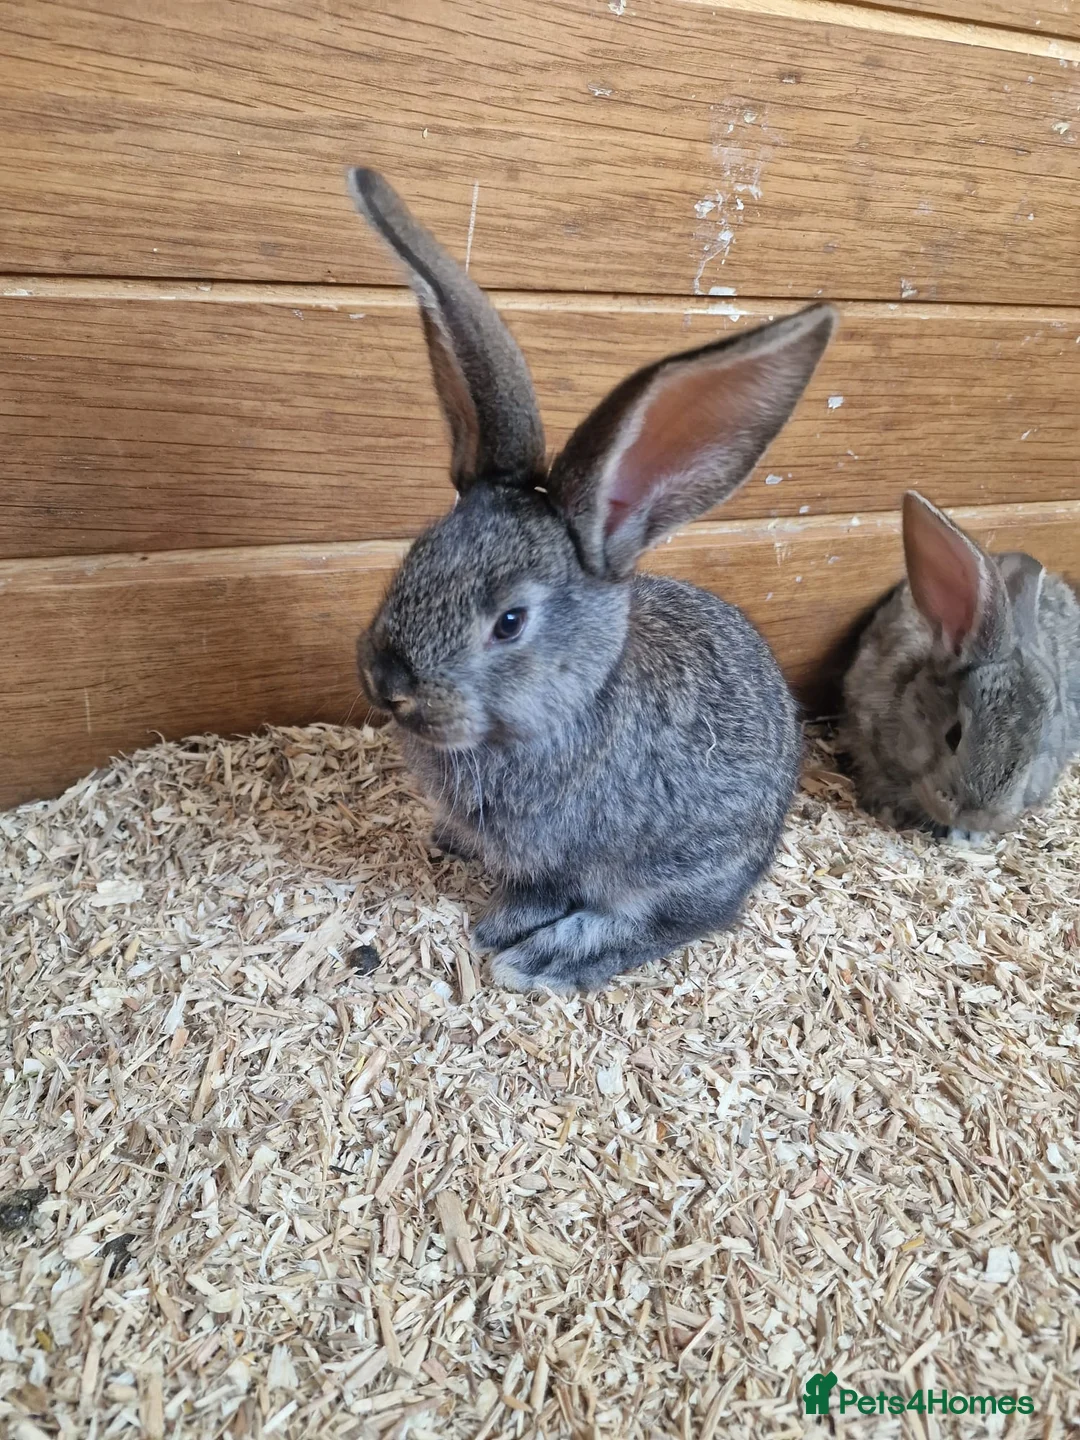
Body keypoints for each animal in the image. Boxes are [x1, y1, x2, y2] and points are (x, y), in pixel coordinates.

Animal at [347, 168, 837, 992]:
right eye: (417, 554)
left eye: (510, 622)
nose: (388, 684)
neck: (567, 709)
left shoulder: (566, 856)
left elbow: (543, 891)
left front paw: (500, 931)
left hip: (684, 869)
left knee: (676, 920)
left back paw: (548, 958)